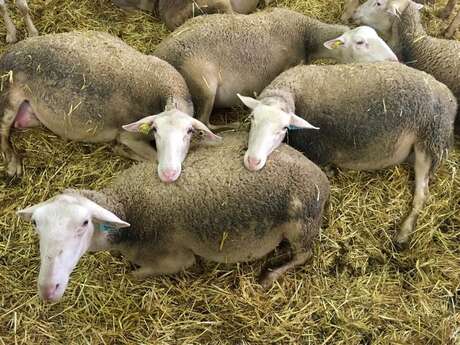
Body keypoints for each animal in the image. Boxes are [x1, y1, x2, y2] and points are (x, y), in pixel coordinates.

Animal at [0, 30, 219, 181]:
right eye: (155, 130)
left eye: (189, 132)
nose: (168, 174)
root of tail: (7, 53)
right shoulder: (129, 136)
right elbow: (151, 157)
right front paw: (120, 150)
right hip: (9, 94)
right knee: (3, 130)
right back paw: (13, 165)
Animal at [15, 132, 330, 300]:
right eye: (36, 225)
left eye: (83, 223)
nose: (48, 289)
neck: (128, 205)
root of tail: (321, 176)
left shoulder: (175, 259)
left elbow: (137, 274)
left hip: (301, 222)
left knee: (305, 255)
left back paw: (270, 274)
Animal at [237, 61, 456, 245]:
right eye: (252, 118)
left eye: (283, 129)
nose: (253, 161)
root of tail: (449, 96)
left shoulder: (318, 151)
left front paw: (330, 171)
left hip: (430, 142)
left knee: (422, 194)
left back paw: (404, 232)